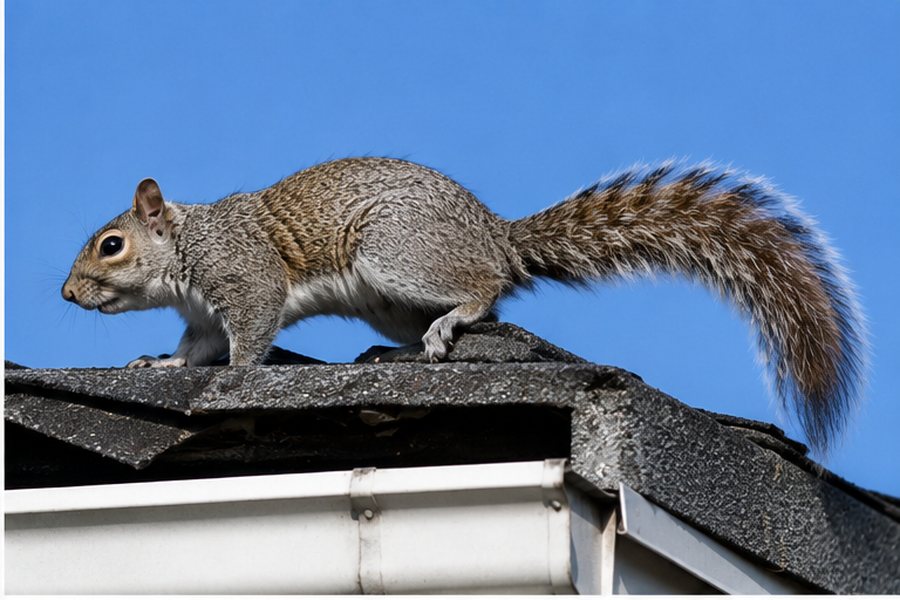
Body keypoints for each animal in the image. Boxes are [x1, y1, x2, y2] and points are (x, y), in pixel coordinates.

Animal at [63, 157, 867, 451]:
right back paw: (396, 349)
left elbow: (249, 339)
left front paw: (236, 377)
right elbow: (191, 349)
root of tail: (496, 237)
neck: (190, 248)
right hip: (388, 294)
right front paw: (156, 363)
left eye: (111, 245)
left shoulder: (246, 280)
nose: (67, 293)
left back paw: (452, 319)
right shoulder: (203, 314)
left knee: (484, 295)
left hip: (396, 254)